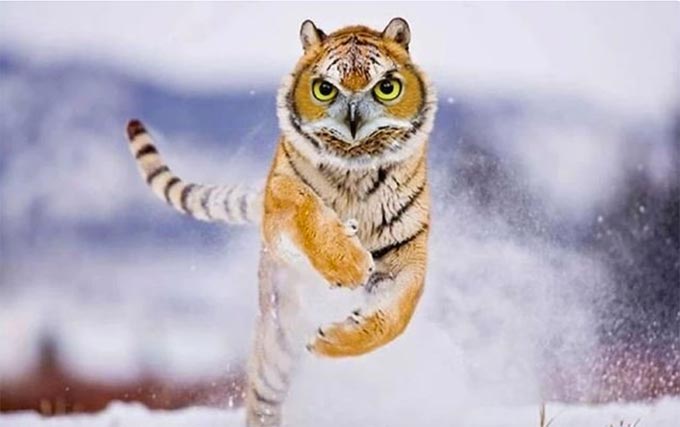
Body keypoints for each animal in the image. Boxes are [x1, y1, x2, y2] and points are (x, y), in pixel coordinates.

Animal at [124, 17, 436, 427]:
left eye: (386, 87)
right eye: (325, 89)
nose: (354, 121)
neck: (354, 170)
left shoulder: (407, 253)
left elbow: (395, 317)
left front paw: (333, 339)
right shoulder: (280, 200)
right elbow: (305, 205)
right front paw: (349, 262)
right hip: (277, 343)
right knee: (263, 398)